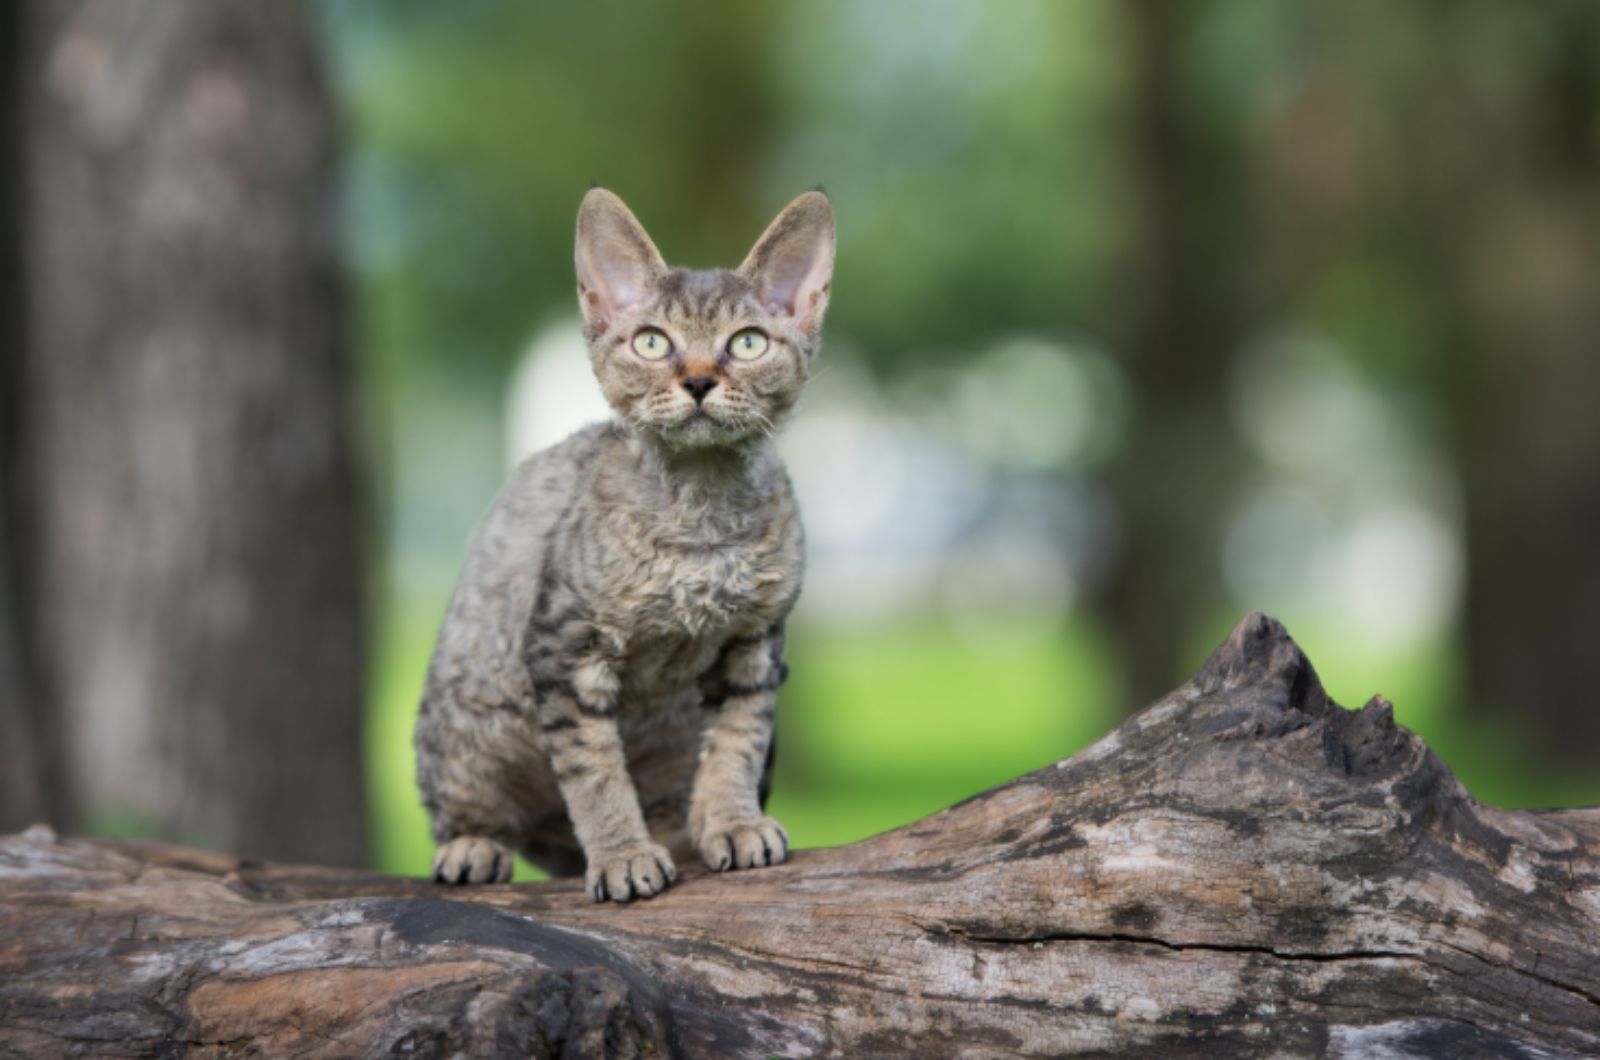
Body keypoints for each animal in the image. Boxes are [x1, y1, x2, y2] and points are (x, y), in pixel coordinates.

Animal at [412, 186, 838, 903]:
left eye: (748, 343)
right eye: (652, 342)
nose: (698, 381)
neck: (700, 517)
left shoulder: (755, 647)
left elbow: (737, 744)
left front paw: (733, 823)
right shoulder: (566, 648)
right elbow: (594, 772)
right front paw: (621, 854)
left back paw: (683, 835)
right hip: (463, 718)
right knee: (471, 808)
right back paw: (474, 847)